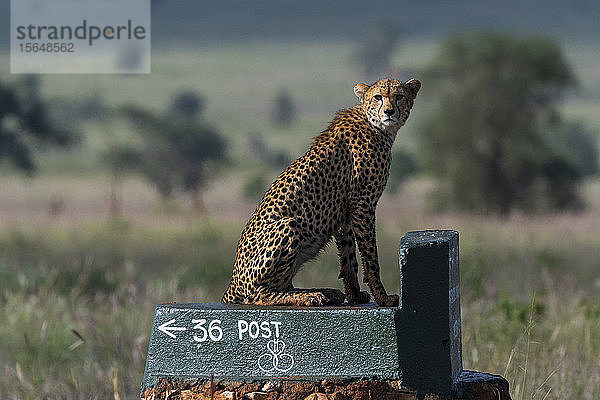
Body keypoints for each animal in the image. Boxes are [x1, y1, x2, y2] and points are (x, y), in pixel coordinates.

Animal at [221, 79, 422, 308]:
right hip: (289, 226)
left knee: (283, 285)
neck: (376, 125)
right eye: (378, 97)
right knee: (258, 294)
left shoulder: (346, 212)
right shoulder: (363, 203)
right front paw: (382, 297)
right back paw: (308, 296)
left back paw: (324, 292)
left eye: (399, 97)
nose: (389, 112)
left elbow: (349, 257)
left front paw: (354, 295)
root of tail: (232, 284)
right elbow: (370, 256)